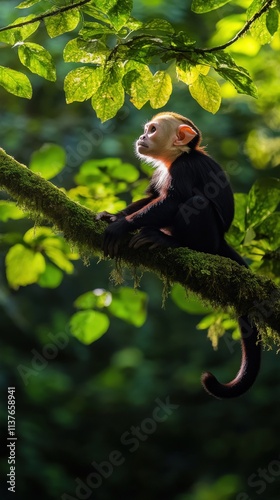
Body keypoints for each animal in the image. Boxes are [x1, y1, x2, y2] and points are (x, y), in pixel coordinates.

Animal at [97, 112, 262, 398]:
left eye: (152, 130)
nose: (142, 136)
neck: (175, 156)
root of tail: (221, 241)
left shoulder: (184, 167)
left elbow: (172, 201)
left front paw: (121, 226)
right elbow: (152, 197)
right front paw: (115, 216)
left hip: (209, 240)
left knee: (195, 203)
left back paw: (170, 241)